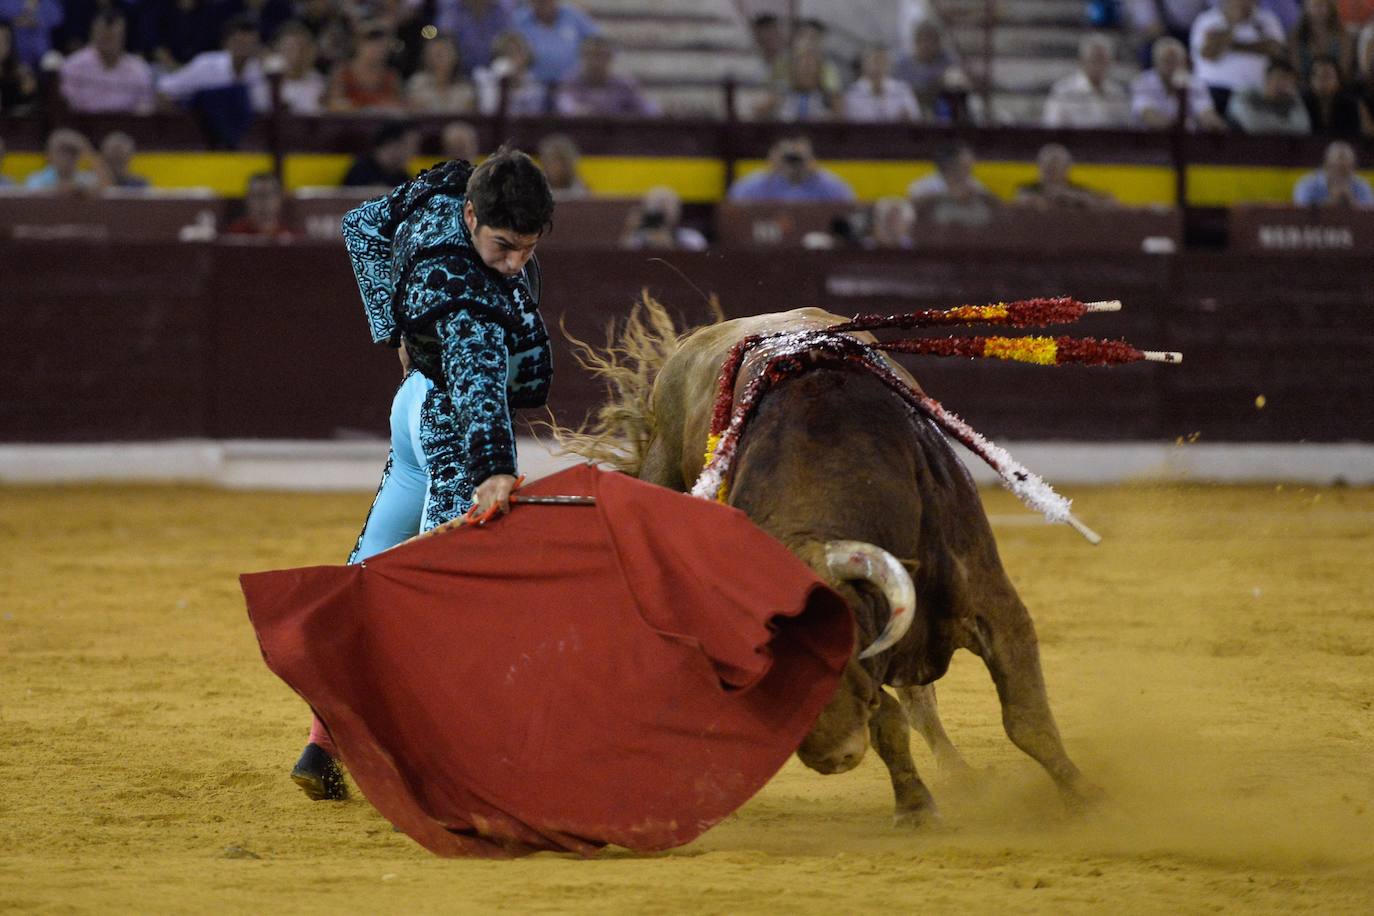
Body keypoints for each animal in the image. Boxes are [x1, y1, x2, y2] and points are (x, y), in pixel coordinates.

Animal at [557, 304, 1093, 829]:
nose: (831, 755)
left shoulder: (992, 603)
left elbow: (1025, 717)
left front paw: (1086, 799)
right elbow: (888, 721)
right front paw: (915, 807)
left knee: (926, 703)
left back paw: (963, 778)